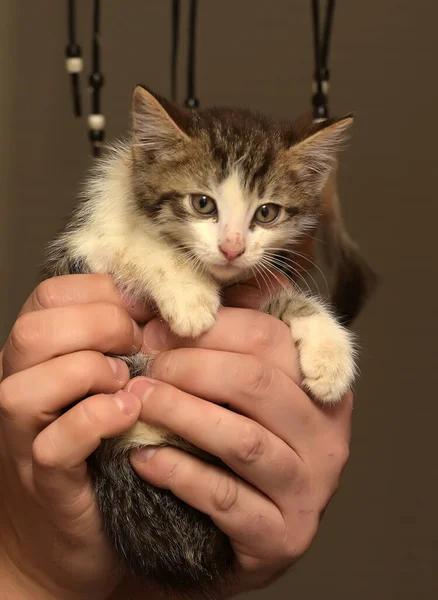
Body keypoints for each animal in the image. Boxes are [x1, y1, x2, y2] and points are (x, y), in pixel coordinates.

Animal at [44, 86, 372, 596]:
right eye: (203, 204)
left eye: (267, 212)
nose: (232, 248)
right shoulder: (83, 249)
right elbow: (135, 246)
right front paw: (191, 296)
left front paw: (330, 355)